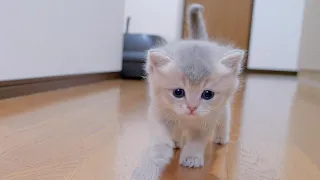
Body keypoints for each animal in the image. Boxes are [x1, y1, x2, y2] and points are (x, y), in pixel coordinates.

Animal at [142, 2, 242, 173]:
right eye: (178, 92)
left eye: (208, 94)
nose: (192, 107)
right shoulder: (158, 111)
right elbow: (160, 136)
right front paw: (158, 153)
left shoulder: (208, 120)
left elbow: (197, 141)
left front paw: (192, 158)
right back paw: (176, 140)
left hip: (223, 108)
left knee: (224, 119)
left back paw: (221, 138)